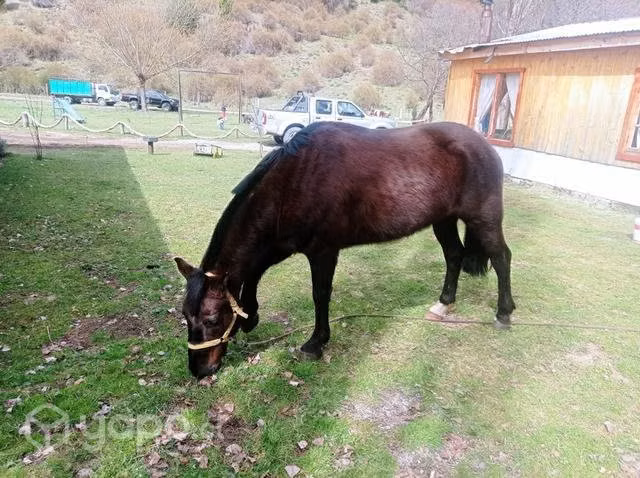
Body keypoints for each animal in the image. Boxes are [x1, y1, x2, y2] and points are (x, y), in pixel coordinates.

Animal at [174, 121, 515, 378]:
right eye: (186, 316)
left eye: (212, 320)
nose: (199, 371)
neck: (294, 180)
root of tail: (484, 144)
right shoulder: (282, 243)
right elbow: (255, 271)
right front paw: (250, 315)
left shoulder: (323, 251)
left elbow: (320, 295)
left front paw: (315, 343)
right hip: (443, 220)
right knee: (454, 255)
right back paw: (443, 304)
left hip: (483, 217)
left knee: (501, 257)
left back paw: (503, 313)